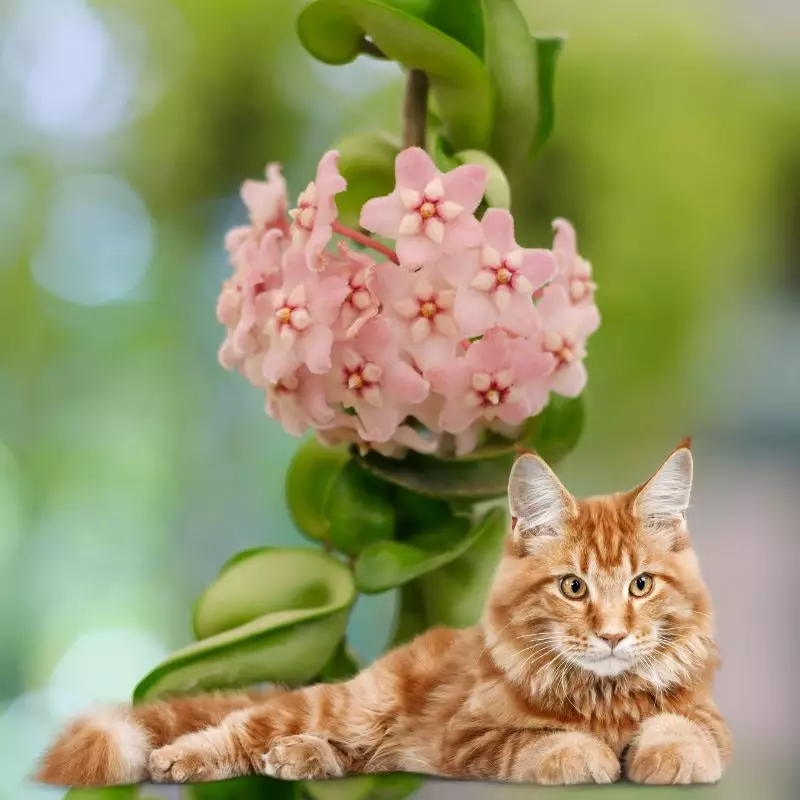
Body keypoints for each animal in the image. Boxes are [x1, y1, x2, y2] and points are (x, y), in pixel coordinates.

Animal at [37, 444, 732, 788]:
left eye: (641, 585)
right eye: (573, 586)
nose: (613, 635)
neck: (602, 698)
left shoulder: (706, 716)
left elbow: (685, 730)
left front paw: (666, 755)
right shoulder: (467, 737)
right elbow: (537, 742)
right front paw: (583, 755)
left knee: (344, 754)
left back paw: (299, 758)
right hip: (348, 704)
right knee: (241, 724)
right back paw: (183, 759)